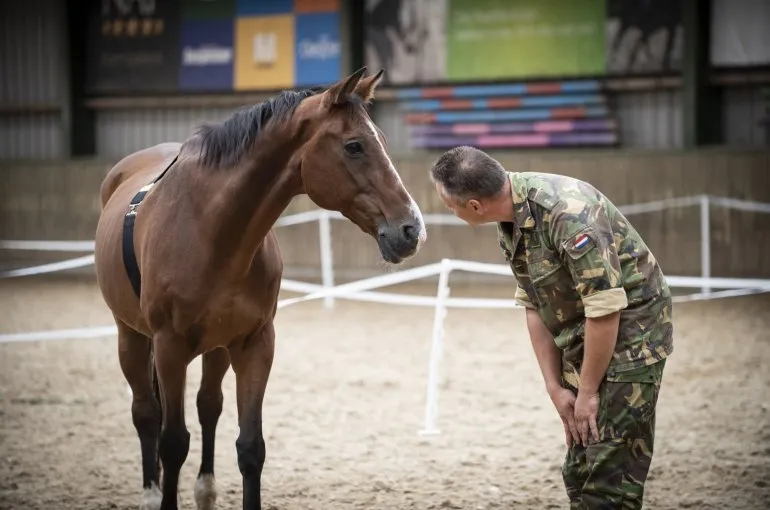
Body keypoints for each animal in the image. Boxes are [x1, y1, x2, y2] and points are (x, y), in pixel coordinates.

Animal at [93, 67, 426, 510]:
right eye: (354, 146)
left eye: (383, 143)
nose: (411, 229)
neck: (210, 230)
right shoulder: (169, 347)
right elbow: (173, 442)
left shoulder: (255, 344)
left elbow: (250, 447)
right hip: (130, 336)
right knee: (146, 413)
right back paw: (150, 493)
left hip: (215, 348)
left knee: (208, 406)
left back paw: (205, 490)